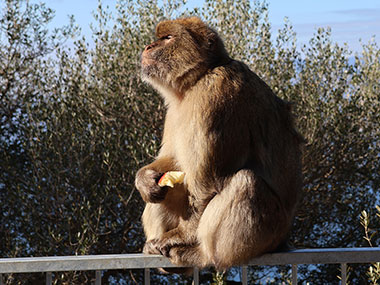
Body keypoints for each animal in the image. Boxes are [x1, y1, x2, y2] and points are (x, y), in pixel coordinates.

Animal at [135, 16, 304, 270]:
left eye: (167, 38)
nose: (148, 47)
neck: (196, 81)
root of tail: (283, 239)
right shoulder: (174, 111)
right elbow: (172, 160)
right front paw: (144, 179)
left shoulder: (215, 96)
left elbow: (207, 182)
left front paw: (178, 236)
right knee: (168, 188)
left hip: (268, 233)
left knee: (246, 182)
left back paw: (202, 255)